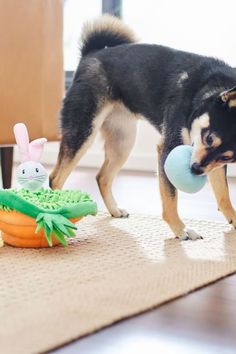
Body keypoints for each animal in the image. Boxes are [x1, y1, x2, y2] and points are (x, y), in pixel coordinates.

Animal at [49, 14, 236, 241]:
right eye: (208, 138)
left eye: (227, 157)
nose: (195, 170)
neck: (202, 92)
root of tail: (90, 55)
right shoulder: (168, 149)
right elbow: (170, 197)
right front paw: (180, 229)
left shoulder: (213, 164)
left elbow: (223, 194)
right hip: (83, 131)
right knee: (55, 178)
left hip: (123, 142)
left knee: (102, 177)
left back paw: (114, 210)